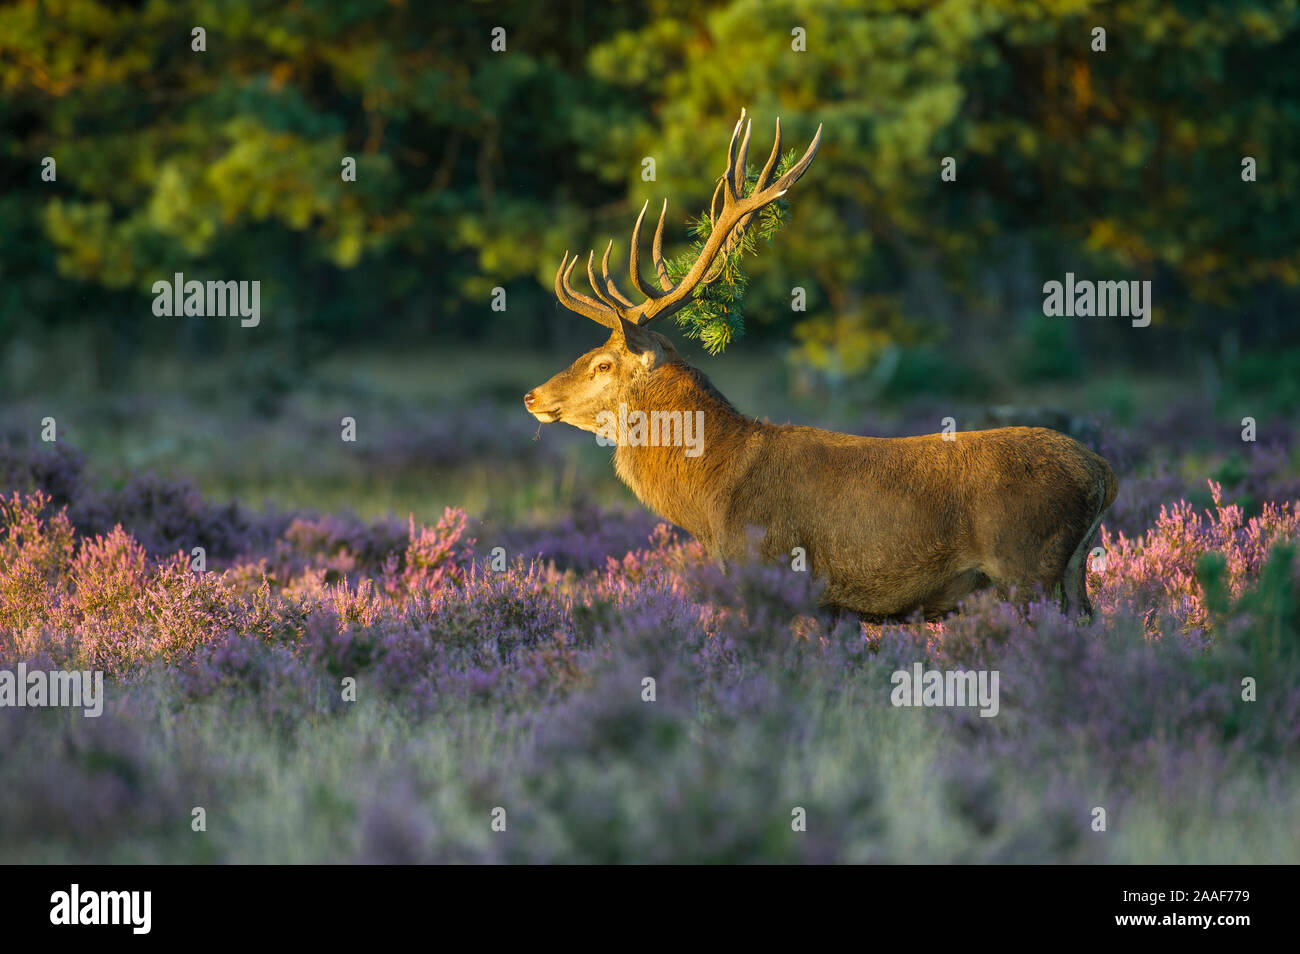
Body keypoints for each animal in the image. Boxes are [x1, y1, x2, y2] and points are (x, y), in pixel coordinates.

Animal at [525, 110, 1118, 622]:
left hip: (1023, 567)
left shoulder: (775, 572)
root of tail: (1103, 474)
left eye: (603, 364)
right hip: (1072, 576)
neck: (712, 496)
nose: (533, 396)